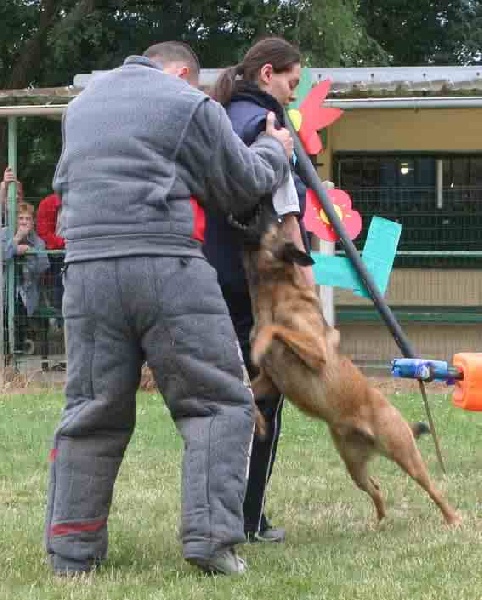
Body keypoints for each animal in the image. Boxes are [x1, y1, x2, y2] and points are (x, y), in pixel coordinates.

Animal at [247, 225, 462, 524]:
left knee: (433, 489)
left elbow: (275, 330)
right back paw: (380, 522)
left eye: (266, 224)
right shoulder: (270, 381)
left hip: (406, 456)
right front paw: (259, 422)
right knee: (375, 488)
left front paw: (259, 344)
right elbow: (246, 387)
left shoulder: (317, 353)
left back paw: (452, 518)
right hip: (354, 466)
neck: (274, 299)